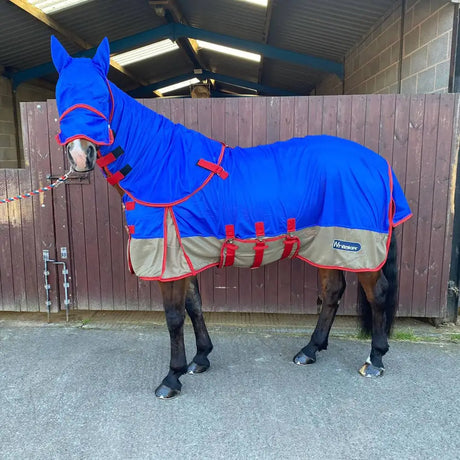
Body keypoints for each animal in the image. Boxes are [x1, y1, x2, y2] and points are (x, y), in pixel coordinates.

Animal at [51, 36, 414, 398]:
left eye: (101, 94)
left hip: (358, 248)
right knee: (333, 291)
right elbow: (194, 306)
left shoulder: (169, 262)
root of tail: (379, 164)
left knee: (378, 295)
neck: (162, 167)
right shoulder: (184, 256)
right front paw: (200, 359)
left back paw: (375, 360)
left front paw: (172, 377)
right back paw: (310, 350)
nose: (80, 155)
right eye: (61, 94)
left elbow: (173, 317)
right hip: (327, 246)